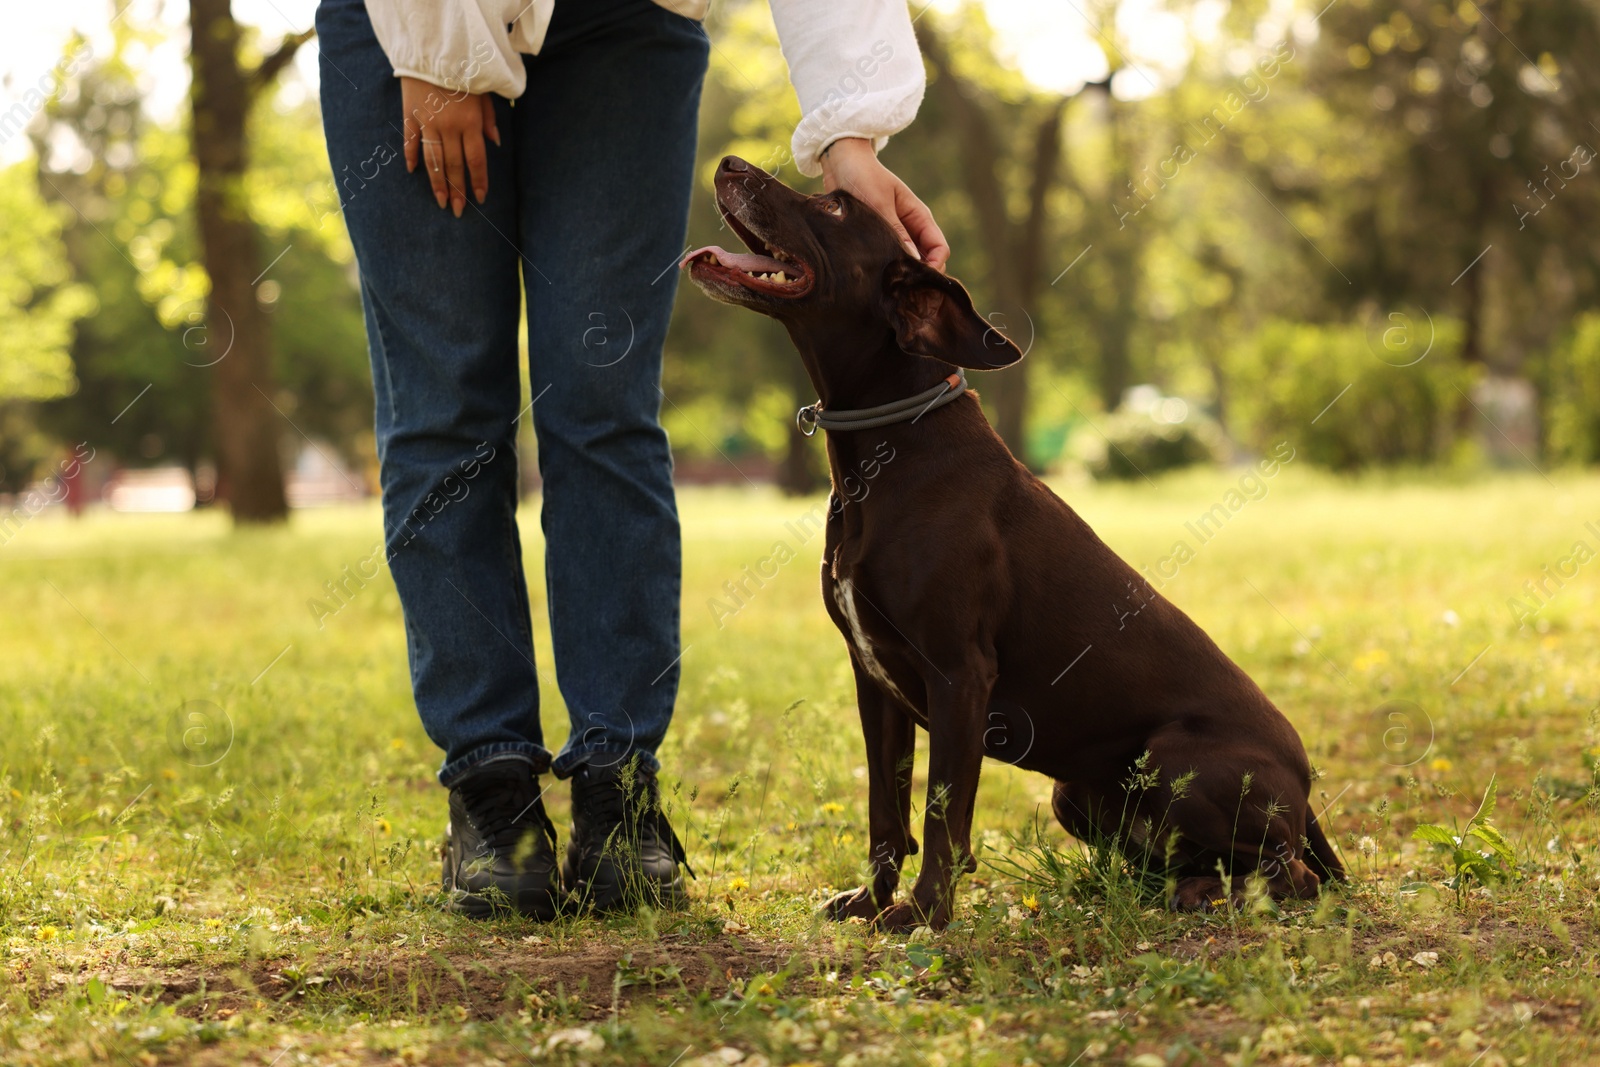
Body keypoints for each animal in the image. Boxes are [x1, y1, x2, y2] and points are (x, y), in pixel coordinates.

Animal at [681, 154, 1344, 927]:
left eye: (837, 206)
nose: (729, 161)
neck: (889, 450)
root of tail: (1306, 786)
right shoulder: (873, 681)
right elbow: (885, 810)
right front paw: (871, 901)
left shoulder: (958, 674)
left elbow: (942, 813)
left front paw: (923, 913)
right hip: (1076, 791)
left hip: (1171, 759)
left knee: (1291, 875)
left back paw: (1209, 895)